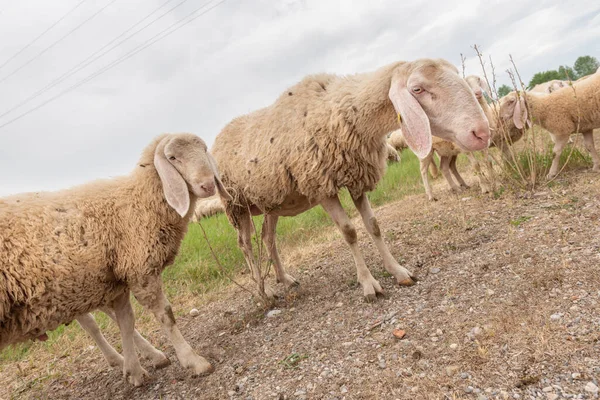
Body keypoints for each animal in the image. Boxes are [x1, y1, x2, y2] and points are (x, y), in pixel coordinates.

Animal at [0, 133, 231, 386]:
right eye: (172, 158)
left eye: (205, 149)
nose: (208, 185)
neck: (137, 201)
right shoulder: (140, 271)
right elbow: (165, 316)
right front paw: (194, 361)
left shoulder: (118, 277)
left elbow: (126, 320)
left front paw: (135, 370)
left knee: (92, 323)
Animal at [210, 57, 488, 300]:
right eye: (417, 89)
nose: (482, 132)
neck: (344, 112)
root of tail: (217, 137)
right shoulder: (322, 186)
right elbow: (350, 232)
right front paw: (368, 284)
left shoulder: (356, 178)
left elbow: (374, 226)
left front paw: (397, 271)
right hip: (236, 205)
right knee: (245, 244)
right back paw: (264, 290)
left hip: (272, 202)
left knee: (269, 238)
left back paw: (285, 278)